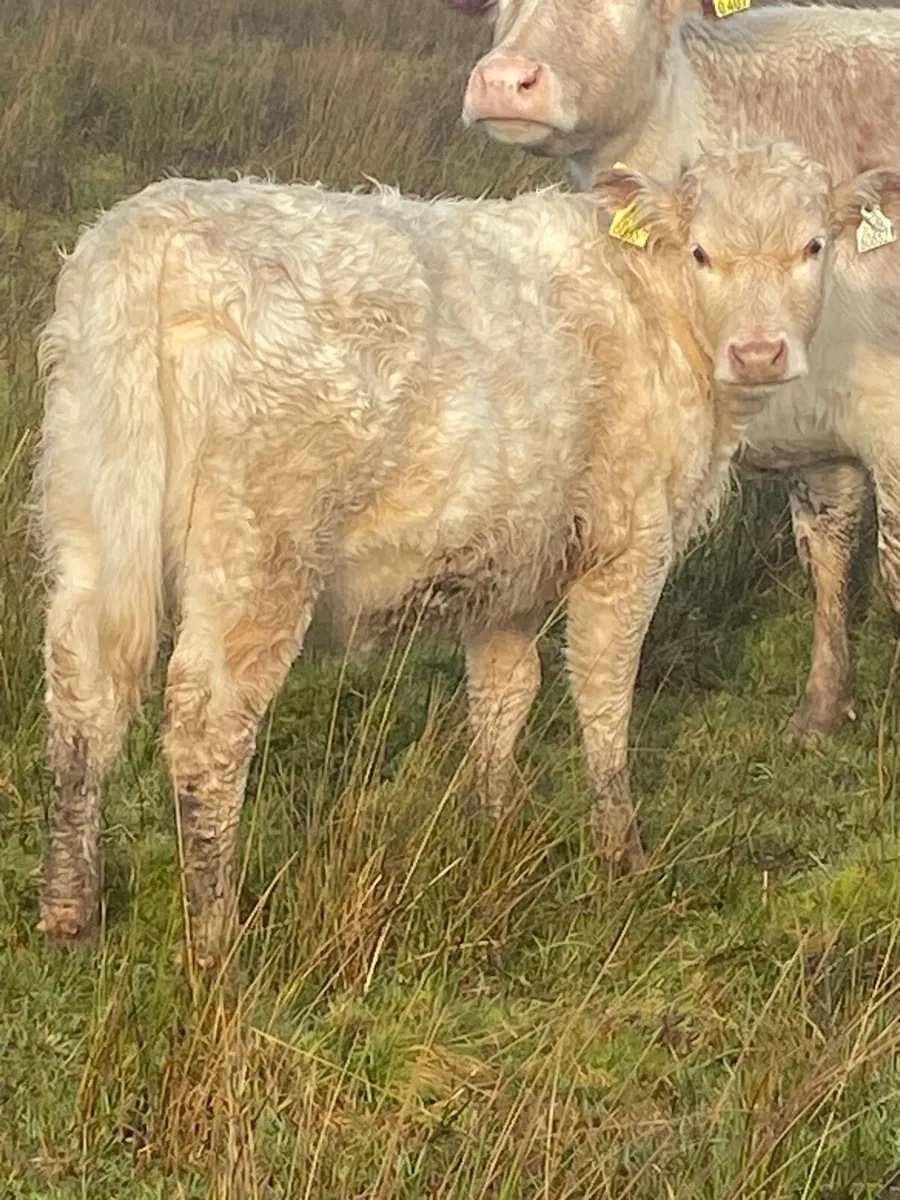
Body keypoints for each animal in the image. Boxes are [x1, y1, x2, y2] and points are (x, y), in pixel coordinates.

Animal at [35, 144, 896, 967]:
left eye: (812, 246)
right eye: (702, 252)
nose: (759, 352)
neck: (650, 309)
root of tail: (155, 231)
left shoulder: (510, 559)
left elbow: (505, 693)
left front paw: (494, 823)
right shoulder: (630, 541)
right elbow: (603, 690)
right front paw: (620, 853)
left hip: (89, 520)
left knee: (82, 692)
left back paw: (71, 915)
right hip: (258, 553)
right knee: (208, 726)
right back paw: (216, 944)